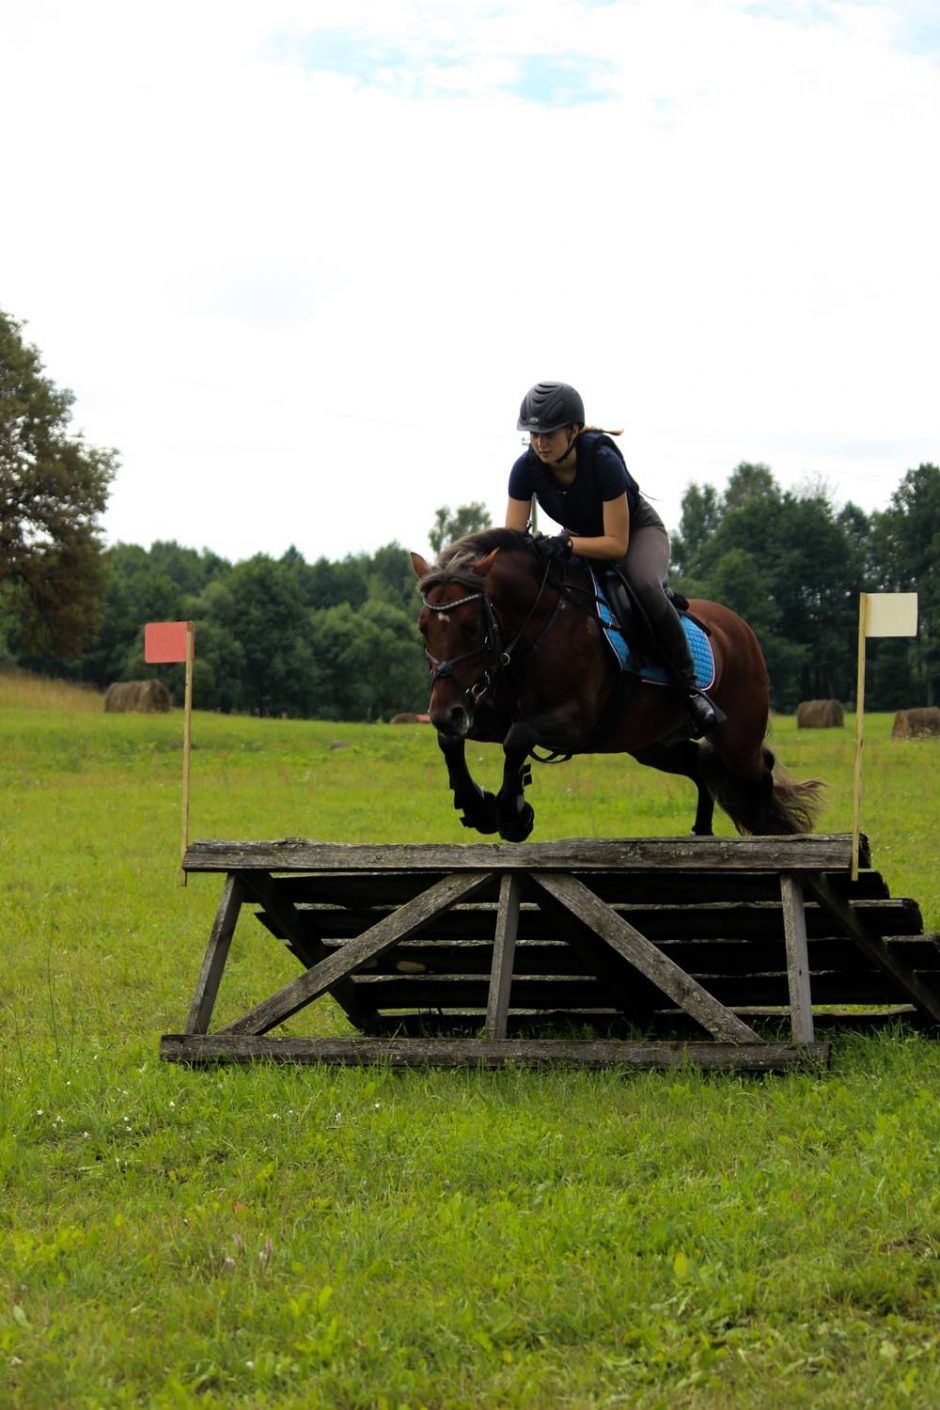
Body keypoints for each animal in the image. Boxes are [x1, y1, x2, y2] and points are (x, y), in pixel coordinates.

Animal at [411, 527, 823, 834]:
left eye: (471, 627)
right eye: (423, 628)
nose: (445, 712)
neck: (532, 629)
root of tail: (741, 629)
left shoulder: (574, 723)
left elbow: (518, 738)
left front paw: (513, 813)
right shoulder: (486, 713)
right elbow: (451, 740)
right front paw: (477, 806)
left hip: (737, 737)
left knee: (758, 770)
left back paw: (771, 835)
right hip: (650, 742)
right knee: (700, 764)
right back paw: (701, 830)